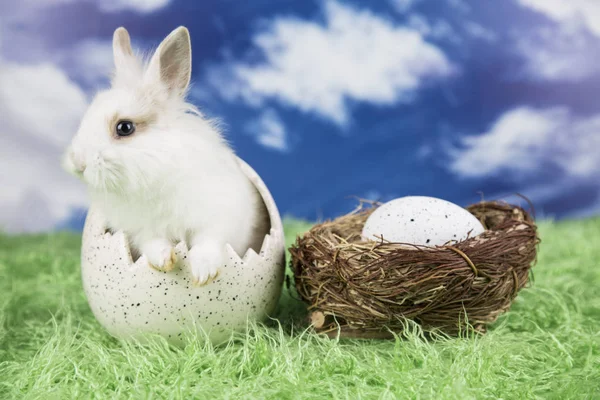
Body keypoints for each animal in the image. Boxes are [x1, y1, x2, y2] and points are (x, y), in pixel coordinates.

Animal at [63, 26, 268, 286]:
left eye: (124, 127)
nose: (78, 162)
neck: (155, 169)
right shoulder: (139, 230)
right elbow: (151, 241)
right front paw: (165, 260)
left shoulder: (220, 216)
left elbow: (209, 241)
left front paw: (202, 273)